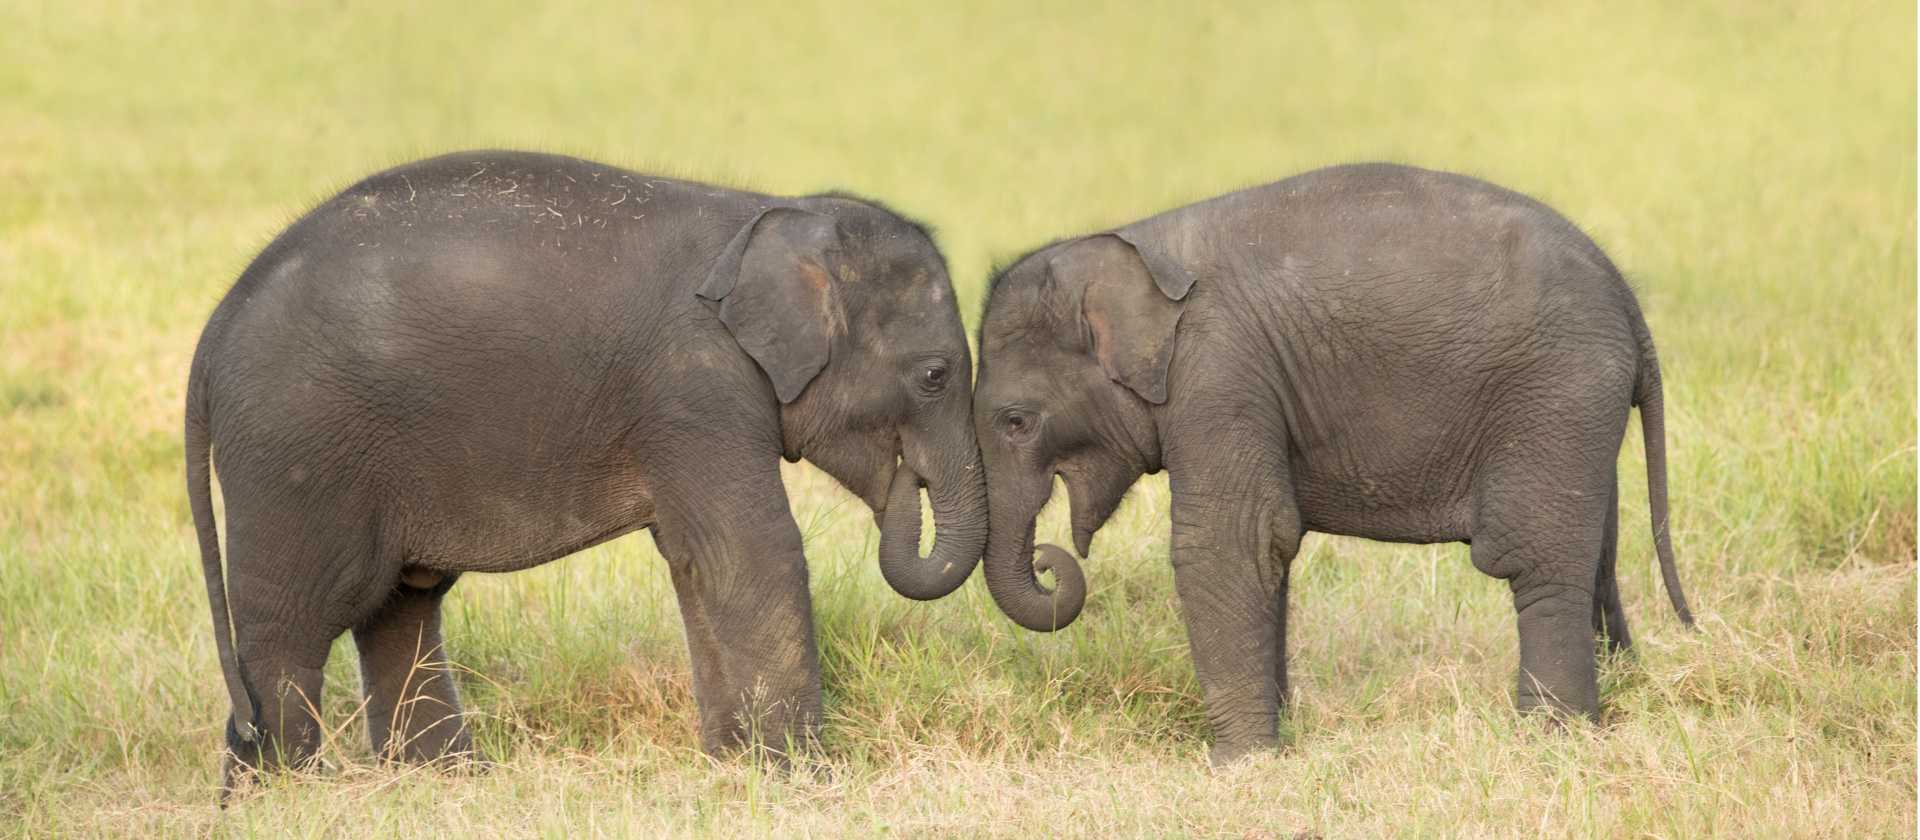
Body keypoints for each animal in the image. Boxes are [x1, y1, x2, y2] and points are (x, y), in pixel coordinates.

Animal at [185, 150, 984, 790]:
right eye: (936, 376)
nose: (903, 483)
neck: (774, 213)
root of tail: (215, 327)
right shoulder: (696, 387)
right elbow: (750, 553)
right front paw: (805, 782)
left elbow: (695, 562)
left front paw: (735, 768)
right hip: (295, 455)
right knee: (293, 627)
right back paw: (283, 796)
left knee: (400, 609)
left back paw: (443, 783)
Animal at [969, 163, 1695, 763]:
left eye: (1015, 422)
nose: (1050, 560)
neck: (1136, 245)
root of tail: (1630, 306)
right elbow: (1268, 548)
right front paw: (1273, 743)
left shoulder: (1221, 376)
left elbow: (1232, 541)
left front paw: (1239, 767)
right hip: (1579, 417)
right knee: (1596, 553)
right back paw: (1614, 698)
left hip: (1556, 395)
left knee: (1534, 561)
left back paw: (1548, 740)